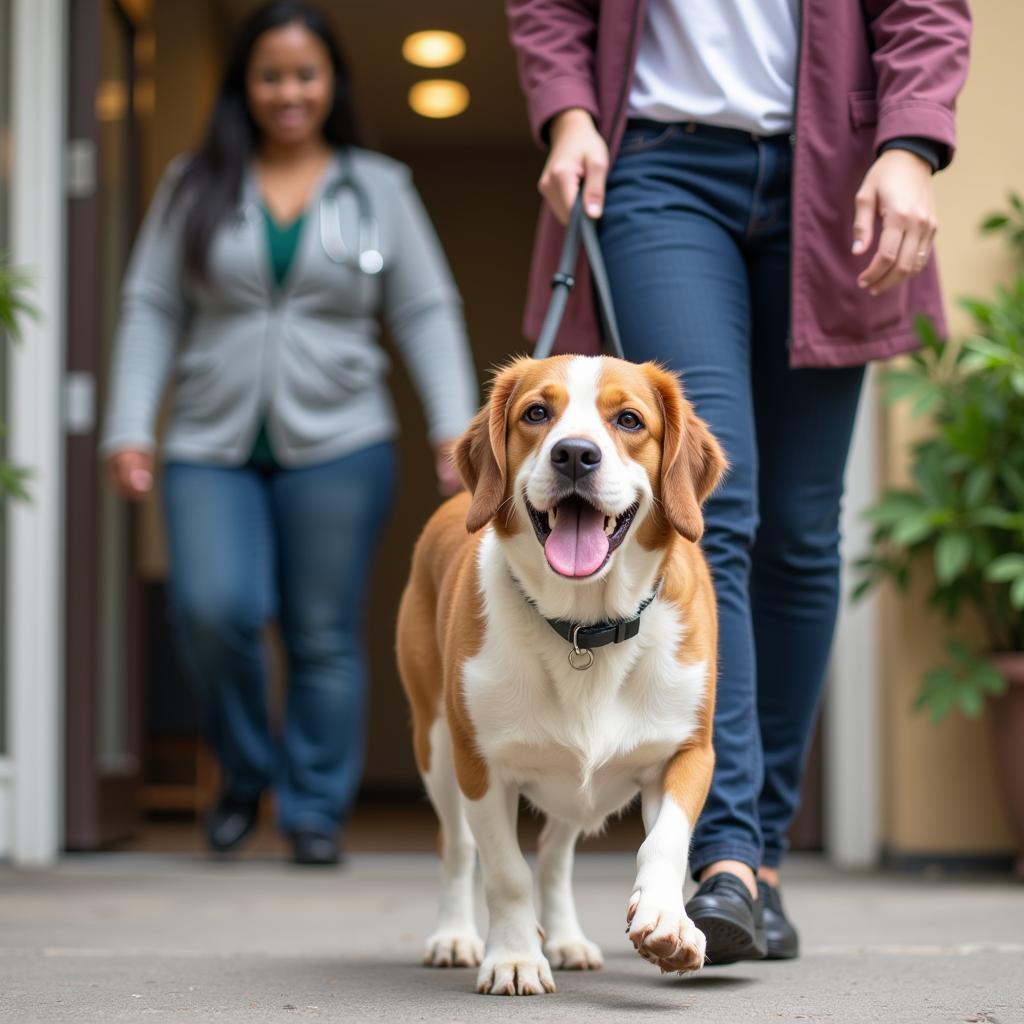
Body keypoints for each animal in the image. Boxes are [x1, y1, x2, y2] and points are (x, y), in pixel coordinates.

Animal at [395, 356, 724, 995]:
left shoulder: (689, 751)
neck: (585, 625)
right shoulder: (480, 765)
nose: (574, 453)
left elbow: (665, 843)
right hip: (437, 747)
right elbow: (504, 872)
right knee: (458, 847)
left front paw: (667, 920)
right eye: (536, 413)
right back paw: (456, 936)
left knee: (553, 852)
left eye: (629, 420)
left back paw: (568, 938)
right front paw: (515, 956)